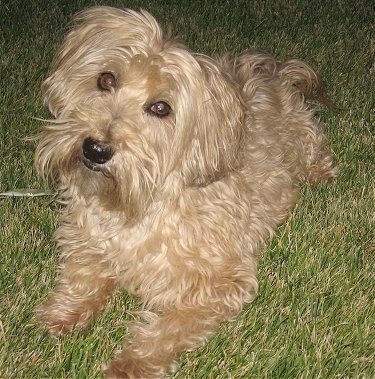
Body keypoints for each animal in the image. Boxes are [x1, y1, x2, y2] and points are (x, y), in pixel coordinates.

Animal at [34, 5, 338, 378]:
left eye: (160, 108)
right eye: (106, 79)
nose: (95, 149)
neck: (138, 206)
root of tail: (273, 74)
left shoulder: (220, 283)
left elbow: (171, 327)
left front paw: (133, 362)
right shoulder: (83, 238)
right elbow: (82, 275)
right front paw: (65, 312)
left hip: (305, 138)